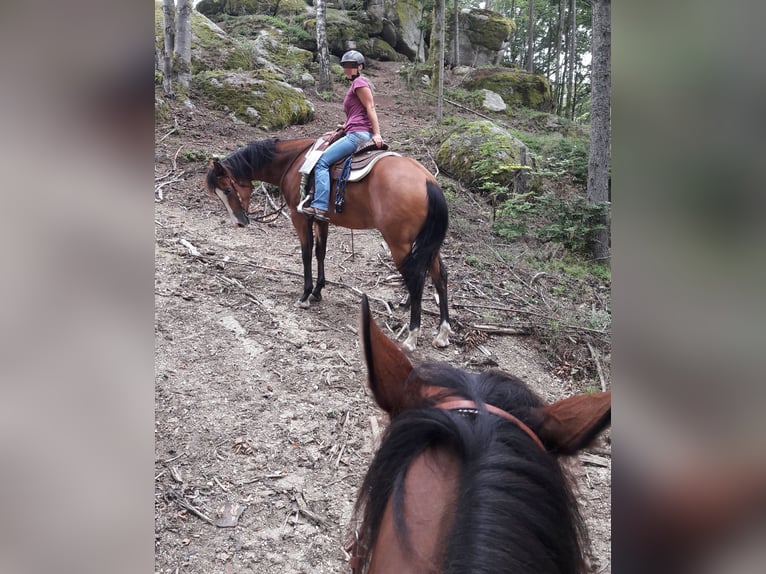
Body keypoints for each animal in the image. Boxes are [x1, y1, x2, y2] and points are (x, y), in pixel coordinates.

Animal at [205, 137, 451, 351]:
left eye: (227, 189)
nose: (239, 222)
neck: (296, 161)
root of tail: (428, 181)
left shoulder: (300, 217)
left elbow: (306, 253)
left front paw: (305, 296)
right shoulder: (321, 219)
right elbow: (320, 252)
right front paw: (317, 291)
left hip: (399, 243)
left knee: (416, 279)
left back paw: (411, 337)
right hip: (429, 245)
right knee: (440, 275)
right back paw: (442, 334)